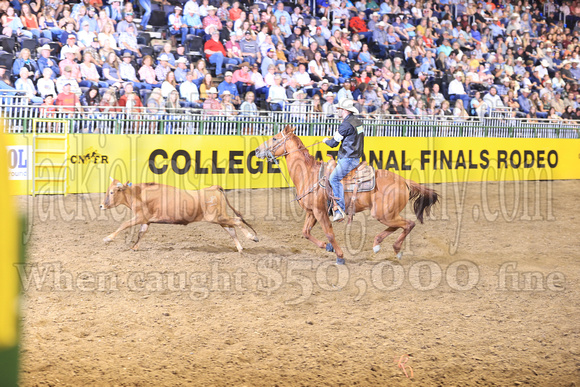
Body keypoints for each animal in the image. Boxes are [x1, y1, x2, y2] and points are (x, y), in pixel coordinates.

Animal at [255, 126, 440, 266]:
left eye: (274, 138)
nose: (257, 150)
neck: (309, 174)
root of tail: (404, 181)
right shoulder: (312, 212)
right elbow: (305, 232)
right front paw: (327, 247)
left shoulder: (320, 212)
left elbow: (329, 233)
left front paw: (340, 256)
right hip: (386, 214)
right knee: (399, 226)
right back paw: (377, 244)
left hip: (383, 214)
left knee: (408, 224)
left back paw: (395, 249)